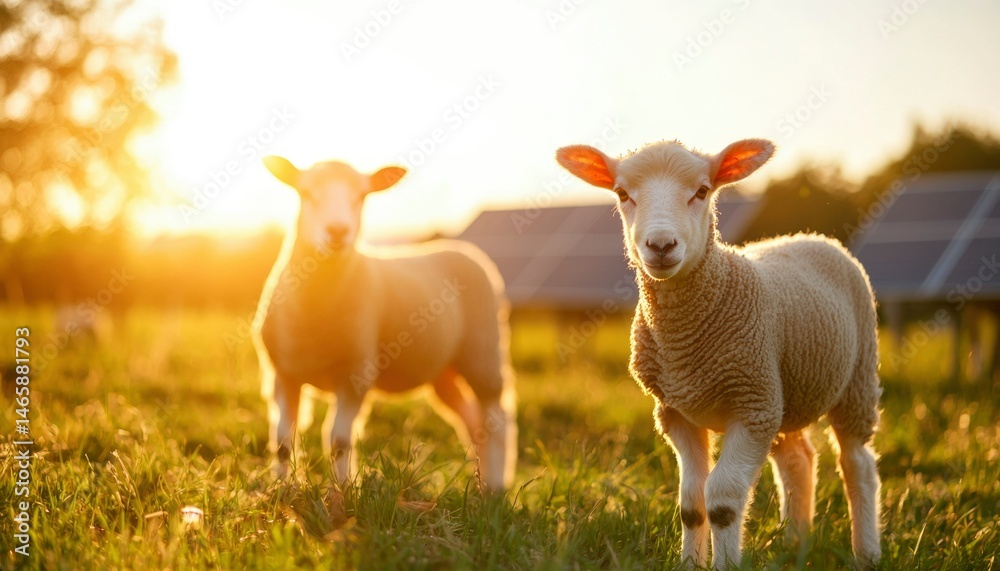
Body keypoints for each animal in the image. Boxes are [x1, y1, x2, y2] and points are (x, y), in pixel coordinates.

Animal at [252, 155, 517, 492]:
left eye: (361, 196)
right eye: (307, 193)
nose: (337, 231)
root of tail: (466, 250)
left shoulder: (356, 373)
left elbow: (339, 440)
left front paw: (339, 492)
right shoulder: (283, 375)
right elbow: (282, 441)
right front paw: (280, 490)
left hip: (484, 354)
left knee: (498, 420)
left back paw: (496, 487)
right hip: (444, 371)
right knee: (473, 421)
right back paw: (480, 487)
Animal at [556, 139, 882, 569]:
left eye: (702, 191)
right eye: (622, 193)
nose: (661, 245)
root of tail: (810, 236)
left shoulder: (751, 408)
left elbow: (723, 502)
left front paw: (724, 562)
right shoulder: (677, 413)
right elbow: (691, 503)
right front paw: (689, 563)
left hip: (854, 380)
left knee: (858, 465)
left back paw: (867, 552)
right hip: (783, 392)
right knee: (798, 458)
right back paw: (794, 544)